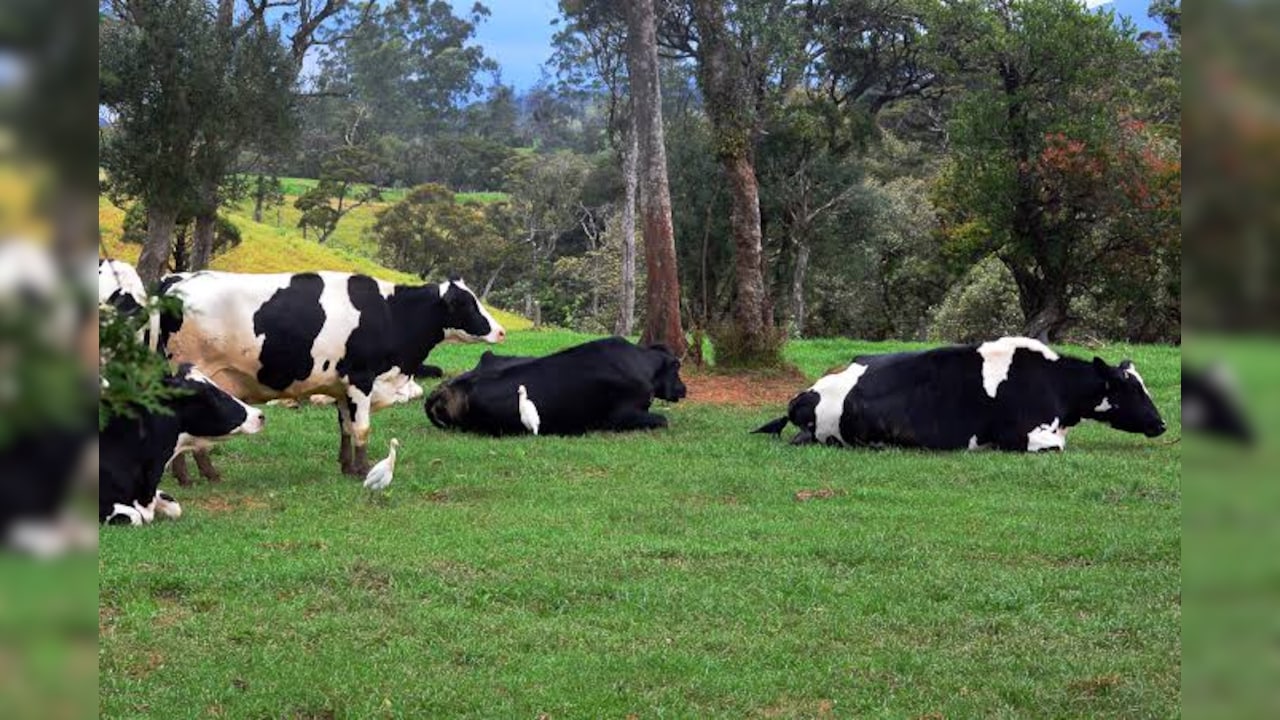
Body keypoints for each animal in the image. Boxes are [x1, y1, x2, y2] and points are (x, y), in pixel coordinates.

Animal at [160, 271, 505, 475]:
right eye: (466, 303)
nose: (501, 331)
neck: (390, 312)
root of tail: (177, 280)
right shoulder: (361, 379)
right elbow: (362, 428)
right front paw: (363, 470)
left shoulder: (341, 385)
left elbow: (345, 427)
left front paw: (346, 465)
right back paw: (194, 475)